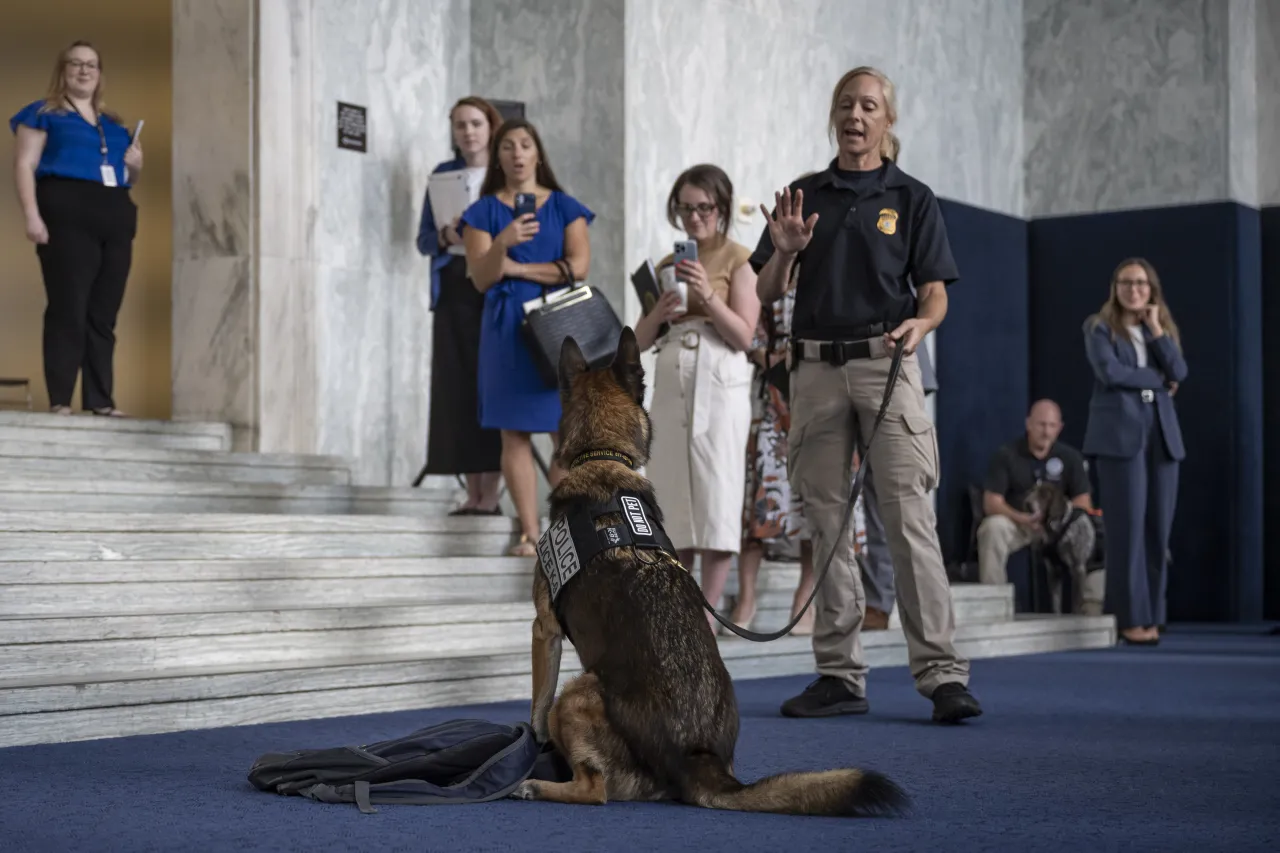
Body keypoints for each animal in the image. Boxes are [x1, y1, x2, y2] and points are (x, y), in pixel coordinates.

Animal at [512, 327, 911, 814]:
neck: (600, 456)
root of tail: (698, 757)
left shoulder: (544, 631)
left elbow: (537, 703)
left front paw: (533, 744)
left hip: (576, 693)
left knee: (596, 789)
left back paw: (535, 786)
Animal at [1024, 479, 1095, 612]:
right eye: (1032, 491)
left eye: (1044, 494)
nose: (1027, 503)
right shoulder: (1054, 572)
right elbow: (1056, 606)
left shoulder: (1078, 570)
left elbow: (1075, 607)